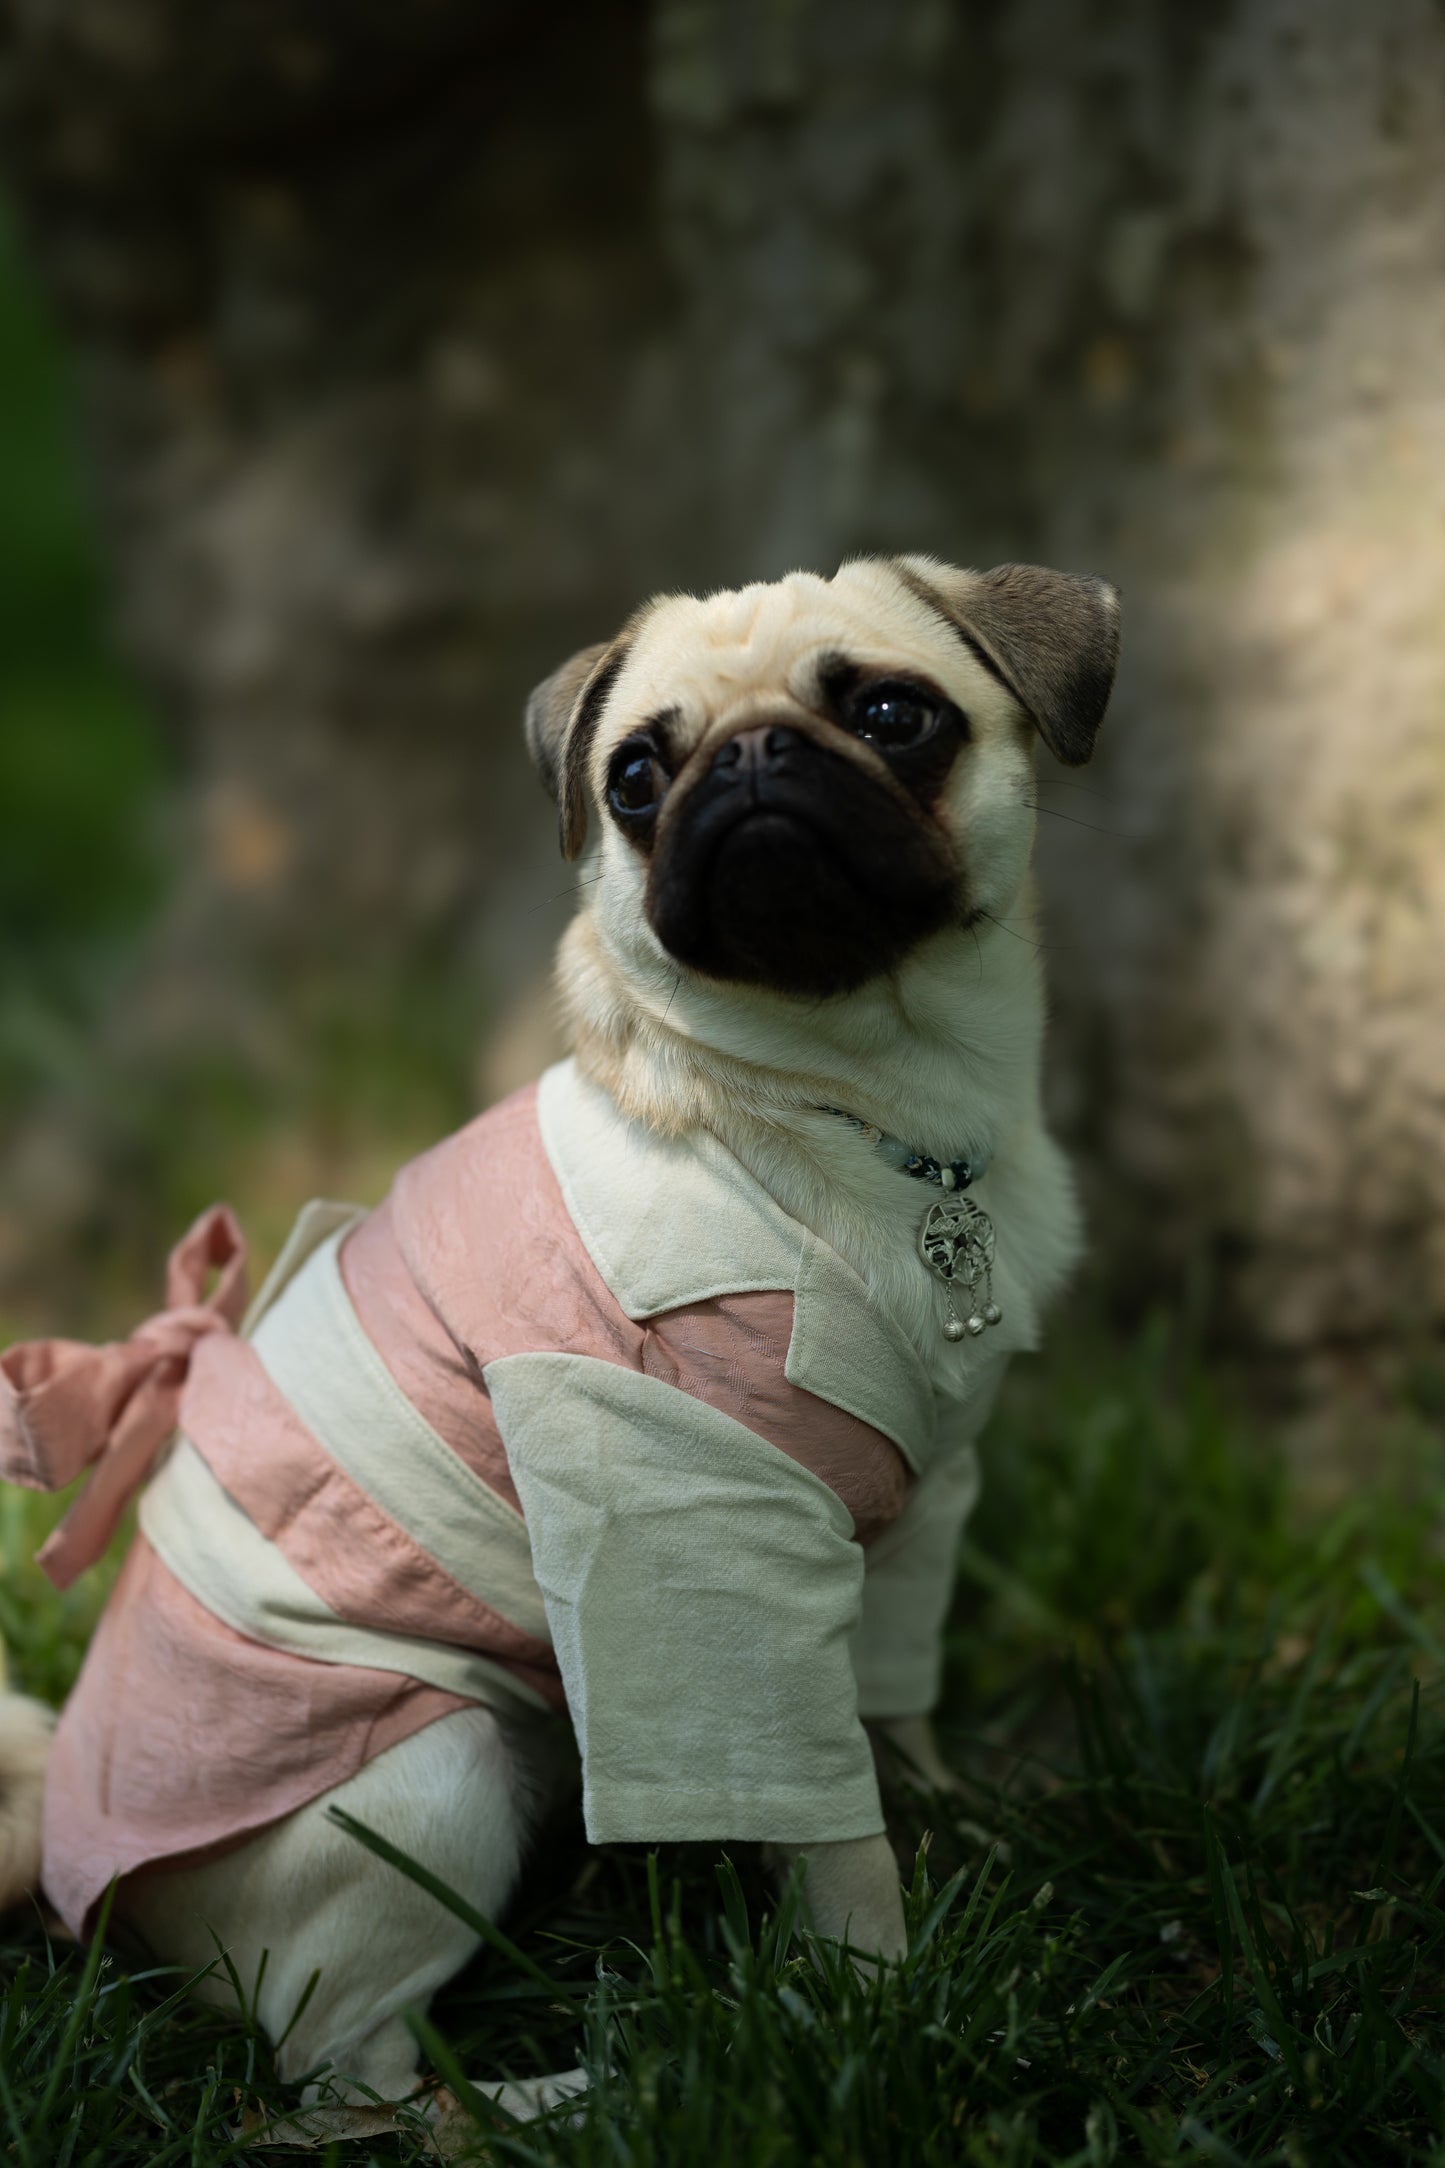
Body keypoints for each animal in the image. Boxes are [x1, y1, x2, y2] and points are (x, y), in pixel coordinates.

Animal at [0, 555, 1117, 2115]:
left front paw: (954, 1811)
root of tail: (77, 1866)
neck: (857, 1114)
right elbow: (823, 1820)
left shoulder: (922, 1505)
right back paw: (575, 2089)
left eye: (896, 717)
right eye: (636, 776)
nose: (750, 757)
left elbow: (889, 1711)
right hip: (442, 1778)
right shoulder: (704, 1552)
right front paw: (873, 1998)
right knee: (354, 2077)